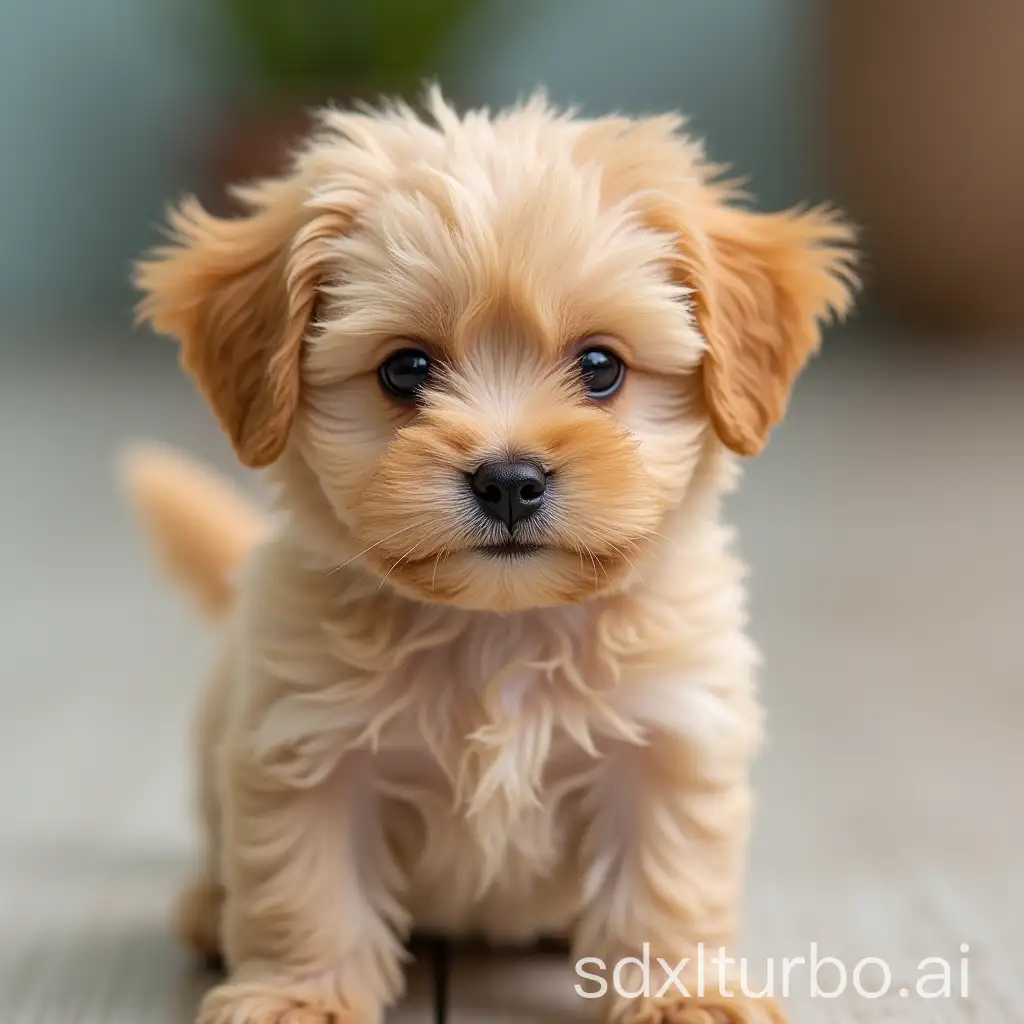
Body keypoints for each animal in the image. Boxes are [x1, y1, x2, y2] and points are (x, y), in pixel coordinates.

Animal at [128, 90, 856, 1024]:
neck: (500, 630)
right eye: (405, 369)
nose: (509, 481)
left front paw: (680, 994)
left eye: (601, 366)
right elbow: (307, 890)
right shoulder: (306, 748)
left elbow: (665, 881)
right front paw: (299, 997)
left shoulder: (668, 737)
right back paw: (205, 908)